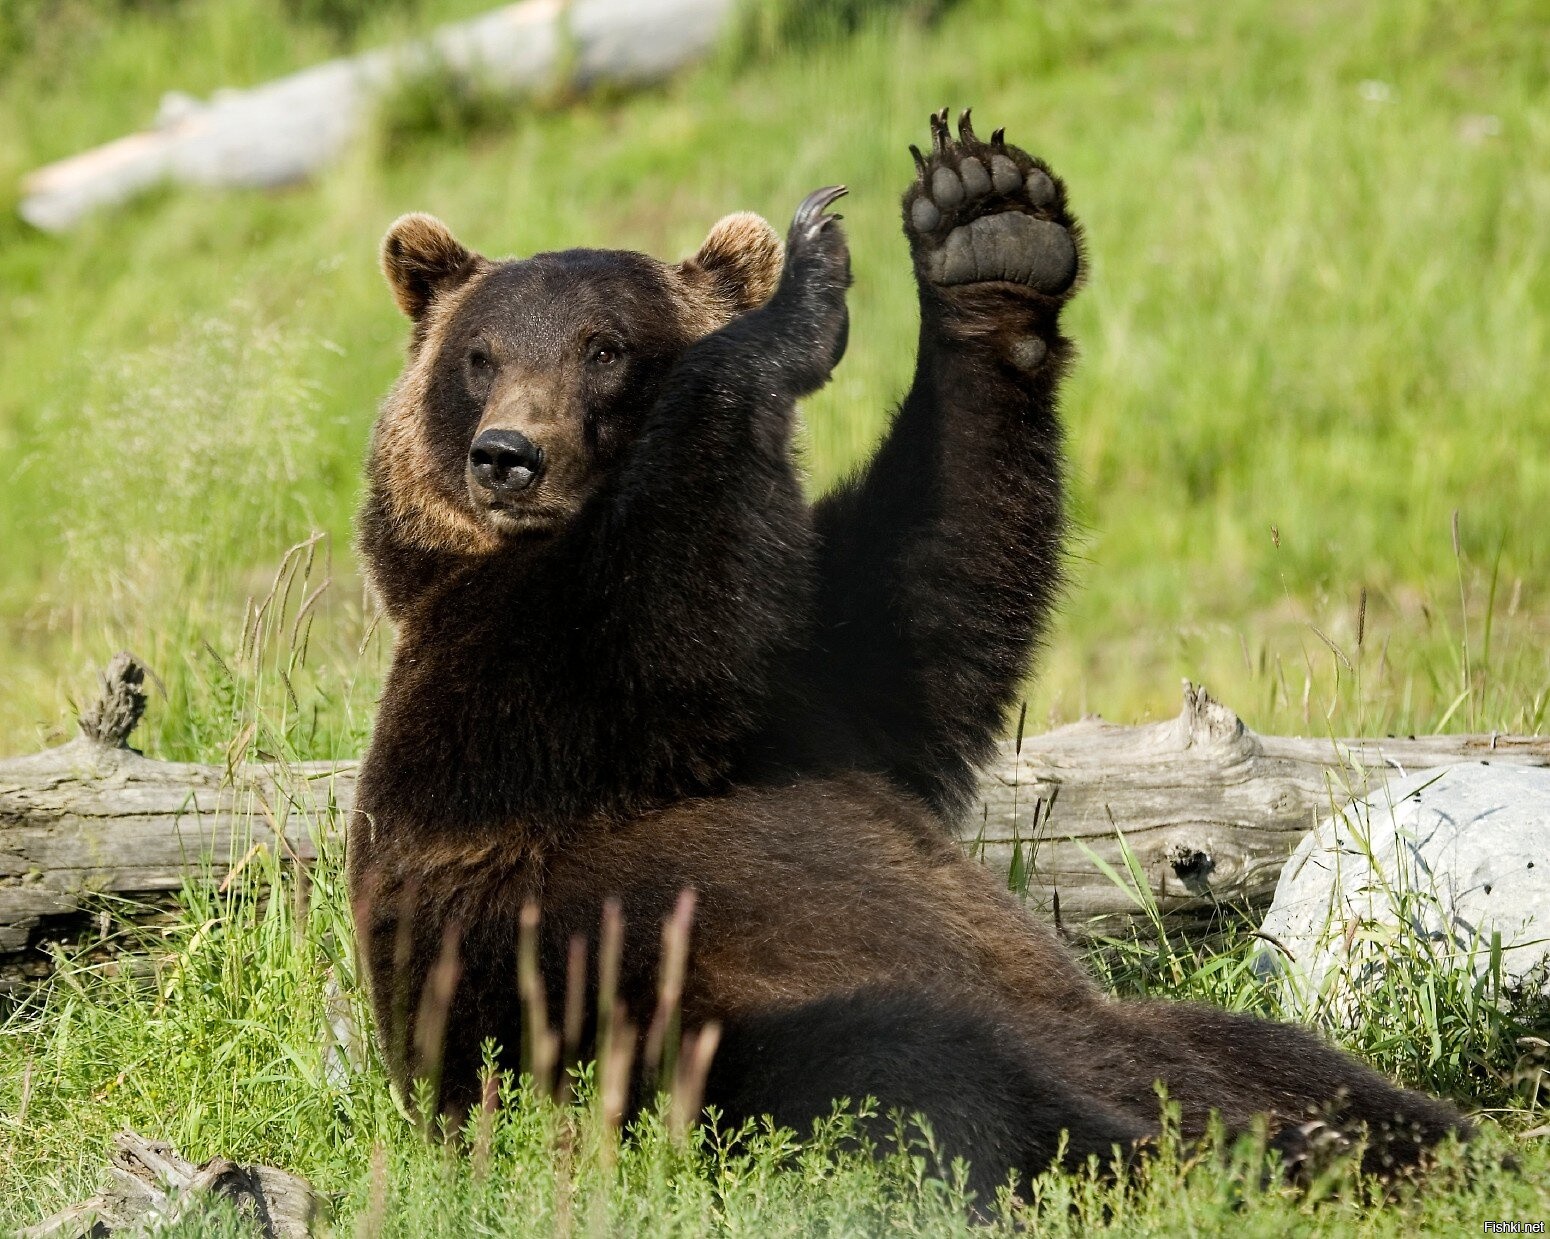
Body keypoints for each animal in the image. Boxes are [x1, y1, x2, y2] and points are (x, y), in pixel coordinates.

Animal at [348, 109, 1463, 1203]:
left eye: (604, 346)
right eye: (481, 354)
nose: (507, 456)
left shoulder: (817, 676)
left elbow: (932, 581)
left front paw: (985, 226)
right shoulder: (506, 694)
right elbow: (634, 614)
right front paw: (805, 287)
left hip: (1142, 1031)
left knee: (1278, 1059)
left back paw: (1408, 1141)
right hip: (695, 1040)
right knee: (927, 1082)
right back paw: (1209, 1160)